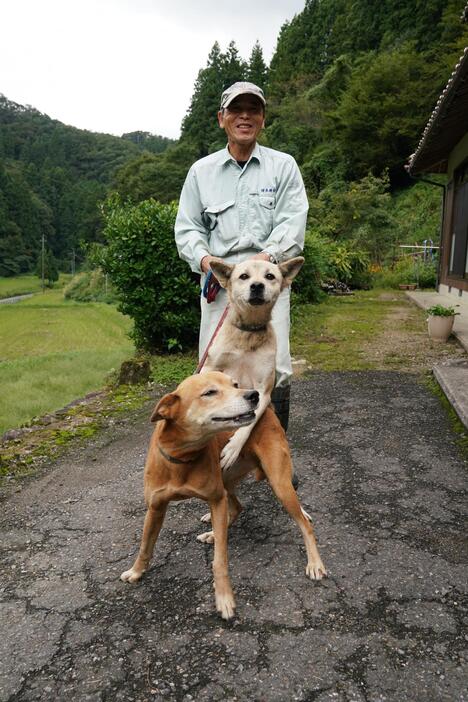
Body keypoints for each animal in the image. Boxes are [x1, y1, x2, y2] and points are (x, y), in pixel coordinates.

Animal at [201, 256, 304, 470]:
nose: (257, 286)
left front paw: (233, 449)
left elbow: (249, 423)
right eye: (244, 276)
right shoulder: (209, 368)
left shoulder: (262, 391)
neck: (247, 332)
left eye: (270, 276)